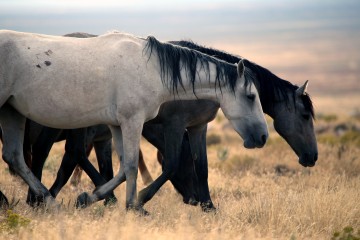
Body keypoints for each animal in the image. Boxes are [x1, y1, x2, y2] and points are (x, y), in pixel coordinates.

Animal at [0, 30, 268, 214]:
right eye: (251, 96)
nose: (263, 136)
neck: (151, 69)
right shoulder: (132, 121)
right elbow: (130, 165)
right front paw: (133, 206)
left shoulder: (117, 126)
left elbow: (122, 168)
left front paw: (91, 198)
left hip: (12, 112)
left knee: (15, 157)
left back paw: (47, 201)